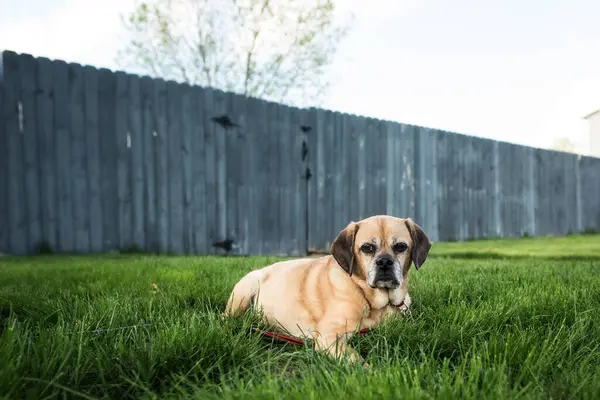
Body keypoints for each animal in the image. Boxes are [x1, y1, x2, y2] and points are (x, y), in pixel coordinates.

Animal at [223, 216, 428, 366]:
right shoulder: (329, 337)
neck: (372, 302)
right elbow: (358, 361)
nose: (384, 262)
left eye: (400, 246)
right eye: (367, 248)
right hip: (245, 289)